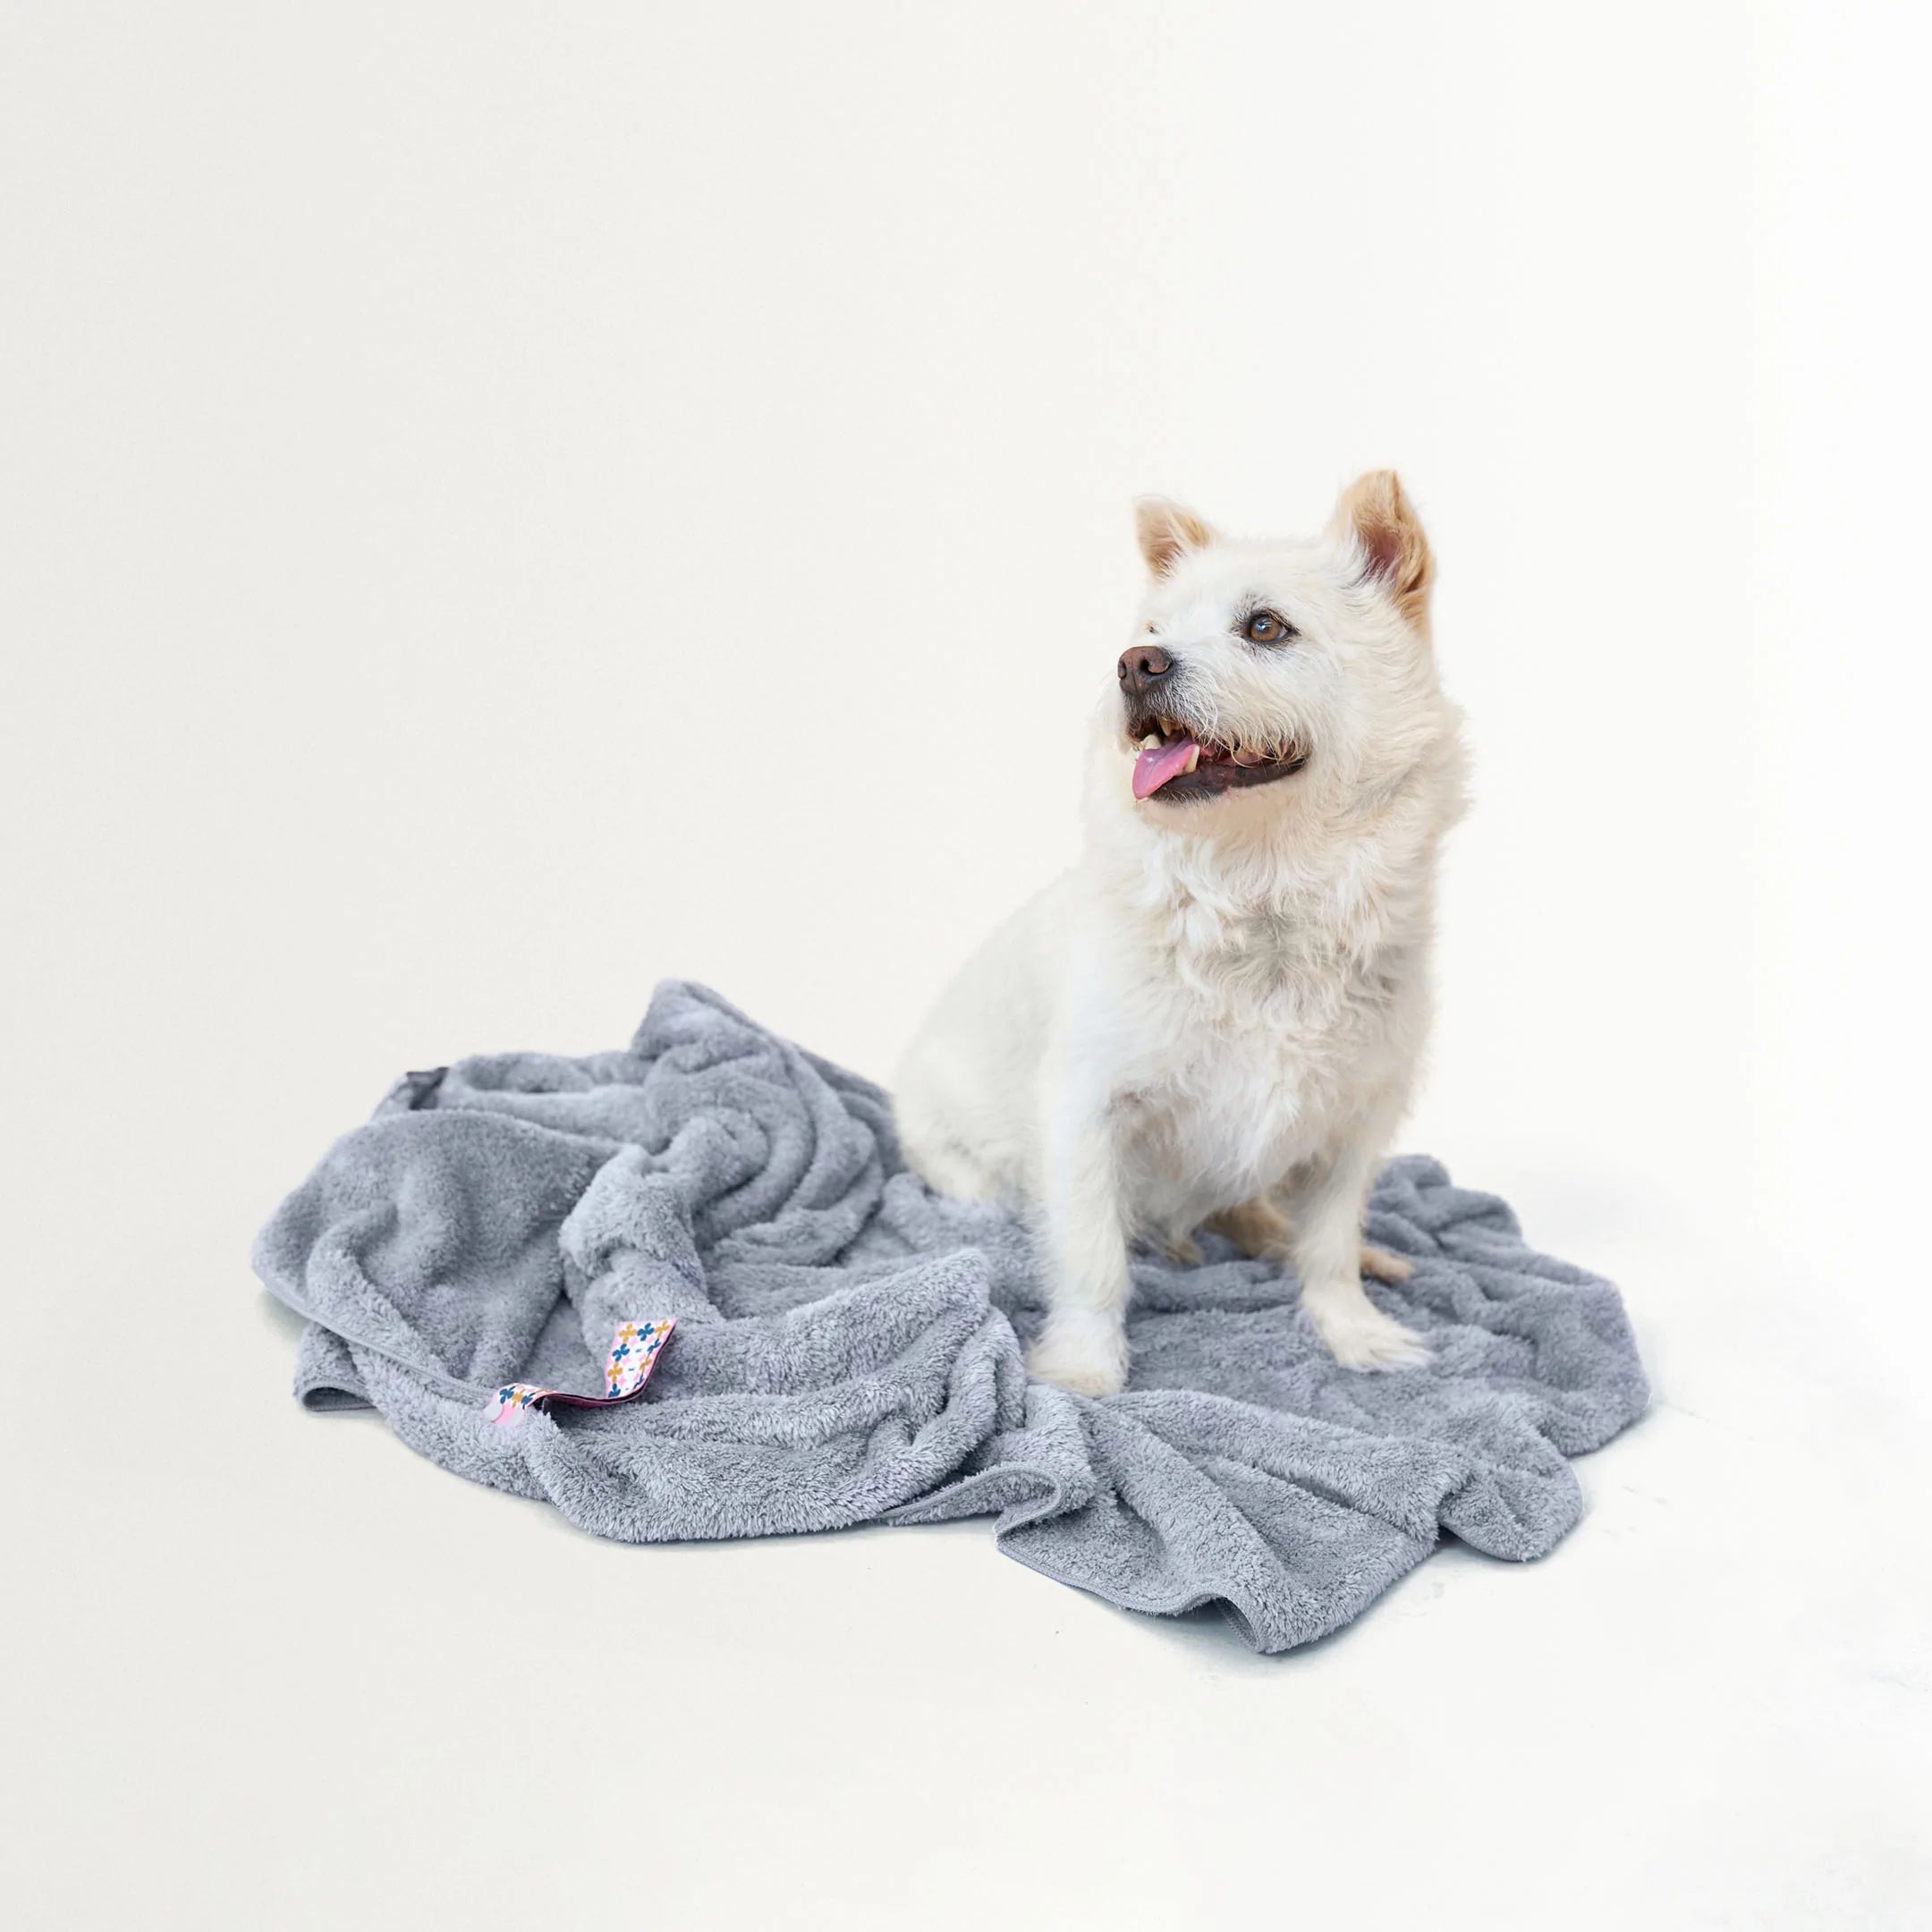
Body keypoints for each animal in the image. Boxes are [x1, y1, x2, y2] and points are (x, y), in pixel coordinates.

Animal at [888, 473, 1460, 1398]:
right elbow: (1093, 1257)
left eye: (1265, 627)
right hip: (958, 1161)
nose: (1134, 666)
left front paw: (1353, 1332)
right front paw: (1083, 1369)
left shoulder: (1355, 1126)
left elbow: (1330, 1244)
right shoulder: (1088, 1114)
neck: (1261, 900)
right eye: (1152, 632)